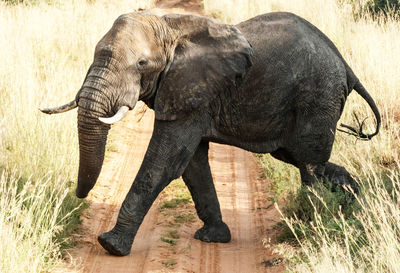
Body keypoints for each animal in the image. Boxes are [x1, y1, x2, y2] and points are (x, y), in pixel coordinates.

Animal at [41, 11, 382, 256]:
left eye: (141, 63)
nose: (78, 198)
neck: (169, 25)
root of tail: (347, 67)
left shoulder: (191, 90)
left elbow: (164, 162)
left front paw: (111, 245)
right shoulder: (193, 95)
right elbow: (191, 164)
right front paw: (213, 237)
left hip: (317, 97)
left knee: (309, 164)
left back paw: (312, 223)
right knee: (305, 160)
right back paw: (353, 203)